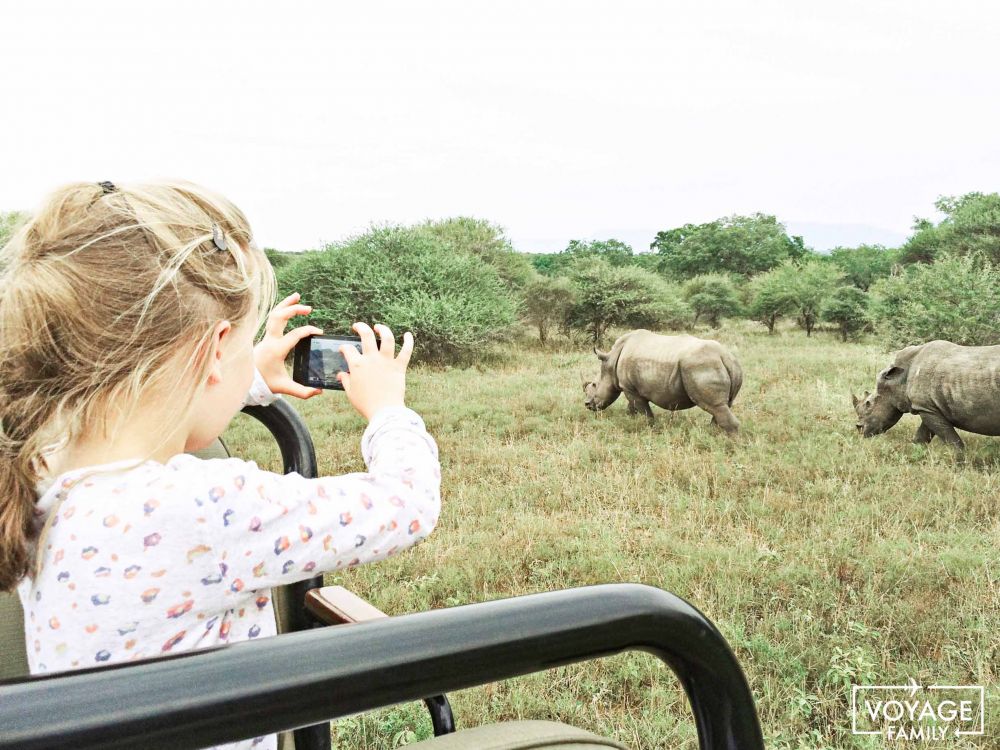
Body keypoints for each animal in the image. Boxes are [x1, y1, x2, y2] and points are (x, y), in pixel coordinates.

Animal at [584, 330, 740, 434]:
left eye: (594, 385)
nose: (587, 405)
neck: (611, 360)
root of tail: (725, 357)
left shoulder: (630, 388)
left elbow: (644, 411)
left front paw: (649, 429)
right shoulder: (632, 388)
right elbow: (632, 407)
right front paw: (631, 421)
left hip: (702, 366)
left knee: (715, 406)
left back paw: (730, 445)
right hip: (720, 366)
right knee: (723, 406)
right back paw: (713, 434)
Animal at [852, 340, 1000, 452]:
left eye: (869, 404)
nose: (859, 429)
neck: (898, 378)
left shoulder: (926, 407)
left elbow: (952, 441)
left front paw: (959, 462)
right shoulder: (929, 407)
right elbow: (922, 436)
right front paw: (915, 455)